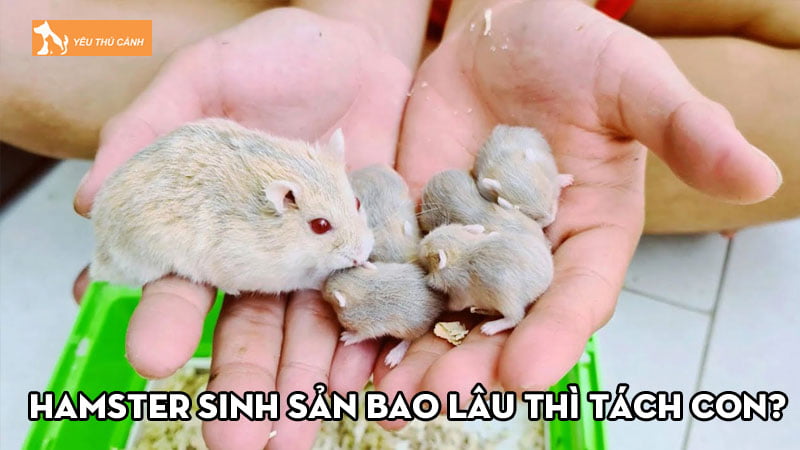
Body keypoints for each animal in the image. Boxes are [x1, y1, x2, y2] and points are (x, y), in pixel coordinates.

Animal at [90, 118, 374, 294]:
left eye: (357, 202)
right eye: (320, 225)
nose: (362, 255)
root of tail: (99, 257)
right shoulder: (267, 272)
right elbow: (305, 280)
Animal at [418, 224, 553, 336]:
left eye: (427, 253)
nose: (420, 243)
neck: (462, 248)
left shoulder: (459, 294)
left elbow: (453, 306)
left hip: (507, 301)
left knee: (515, 318)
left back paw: (488, 328)